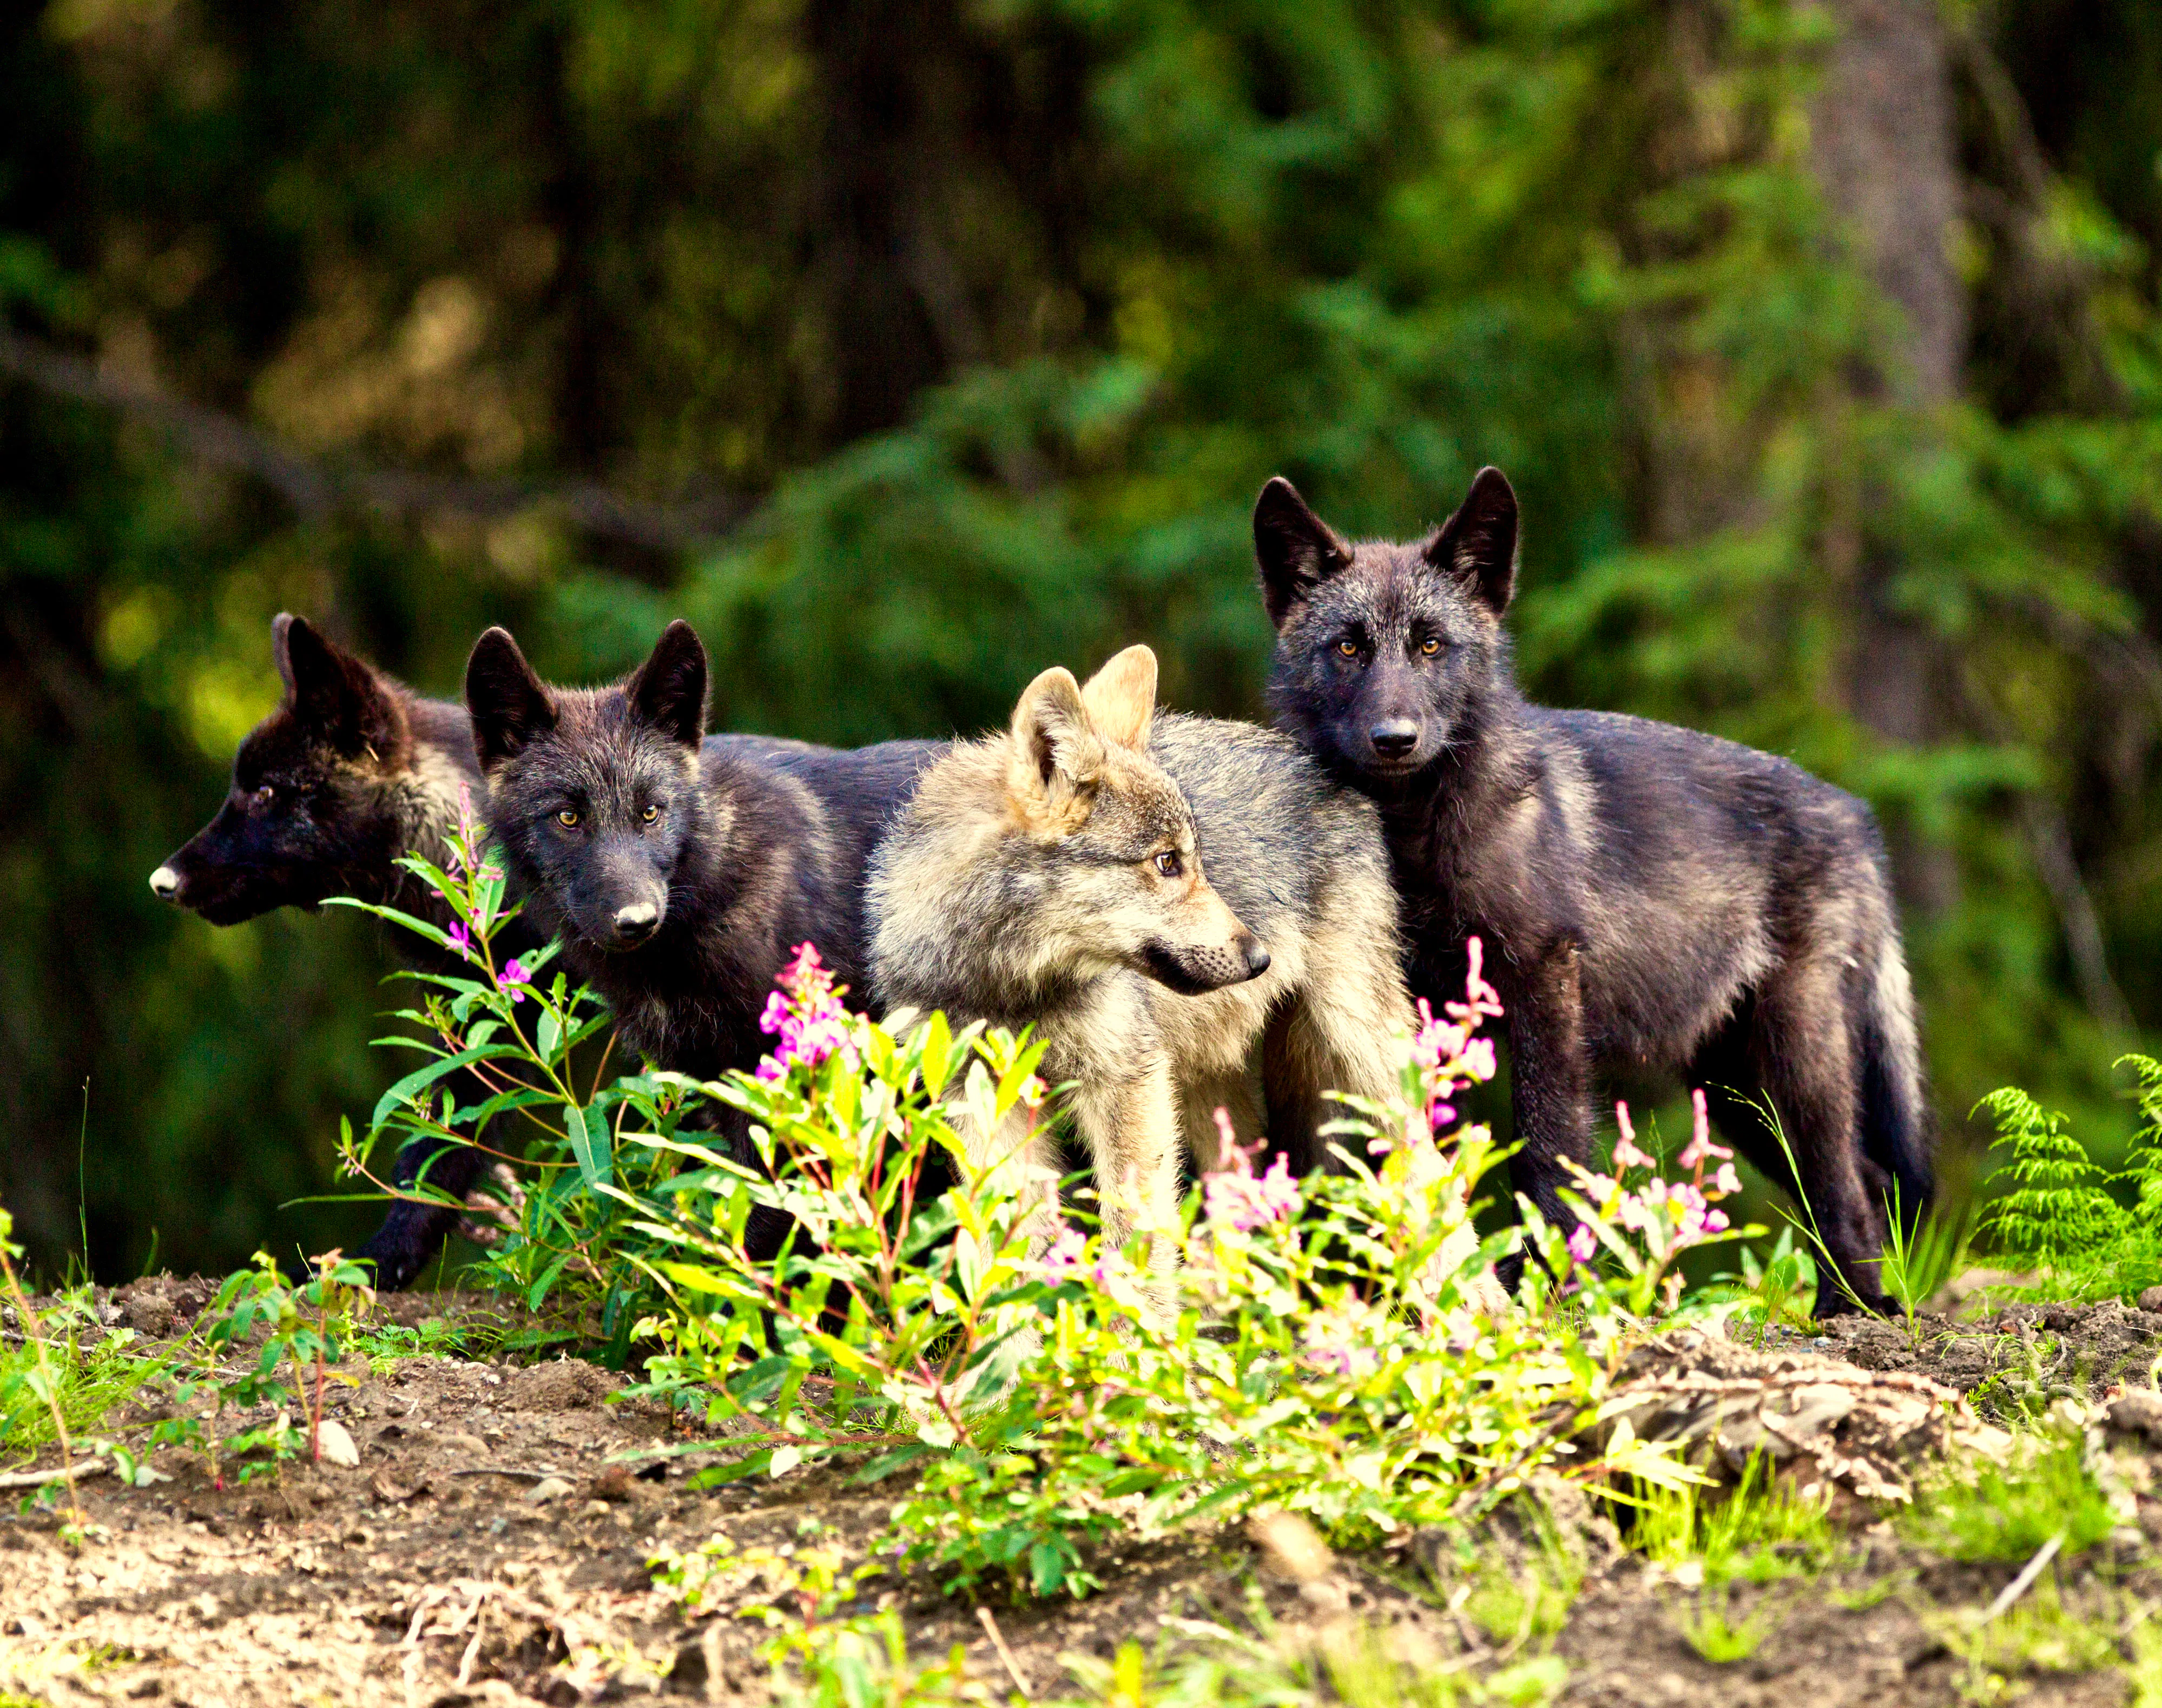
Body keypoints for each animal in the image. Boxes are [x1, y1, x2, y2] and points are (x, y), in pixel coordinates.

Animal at [150, 613, 829, 1287]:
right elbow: (434, 1159)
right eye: (243, 788)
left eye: (266, 793)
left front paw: (371, 1270)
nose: (162, 881)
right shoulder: (487, 1027)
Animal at [866, 645, 1415, 1295]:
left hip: (1361, 1055)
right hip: (1209, 1100)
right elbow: (1012, 1262)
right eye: (1167, 862)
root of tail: (1325, 769)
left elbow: (1134, 1256)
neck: (1011, 987)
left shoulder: (1128, 1083)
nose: (1260, 958)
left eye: (1191, 860)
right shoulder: (984, 1106)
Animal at [1254, 467, 1932, 1315]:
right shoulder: (1419, 1011)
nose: (1395, 738)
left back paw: (1859, 1310)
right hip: (1735, 1087)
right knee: (1861, 1178)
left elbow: (1548, 1153)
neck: (1415, 842)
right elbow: (1425, 1158)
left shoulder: (1544, 986)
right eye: (1347, 646)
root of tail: (1855, 814)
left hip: (1792, 1055)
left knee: (1844, 1174)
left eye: (1432, 645)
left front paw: (1544, 1293)